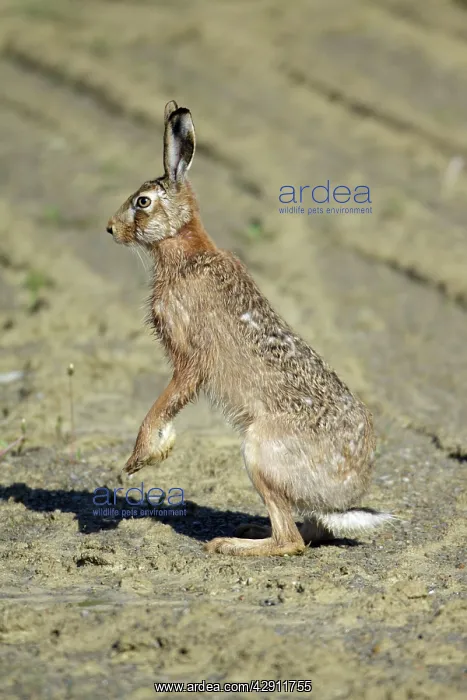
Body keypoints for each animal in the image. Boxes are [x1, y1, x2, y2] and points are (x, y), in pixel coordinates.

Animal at [106, 100, 393, 556]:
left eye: (143, 202)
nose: (111, 229)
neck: (184, 252)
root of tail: (344, 496)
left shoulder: (190, 358)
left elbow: (164, 404)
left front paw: (140, 458)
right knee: (309, 532)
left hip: (259, 453)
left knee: (291, 541)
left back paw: (230, 544)